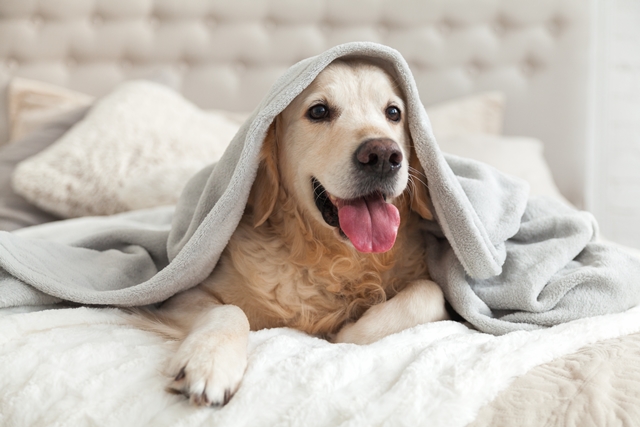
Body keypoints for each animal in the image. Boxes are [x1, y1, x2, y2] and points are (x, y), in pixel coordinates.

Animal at [142, 59, 448, 408]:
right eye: (319, 111)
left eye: (394, 112)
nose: (383, 155)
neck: (333, 259)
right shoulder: (176, 297)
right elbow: (228, 309)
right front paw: (209, 361)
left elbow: (429, 292)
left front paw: (350, 332)